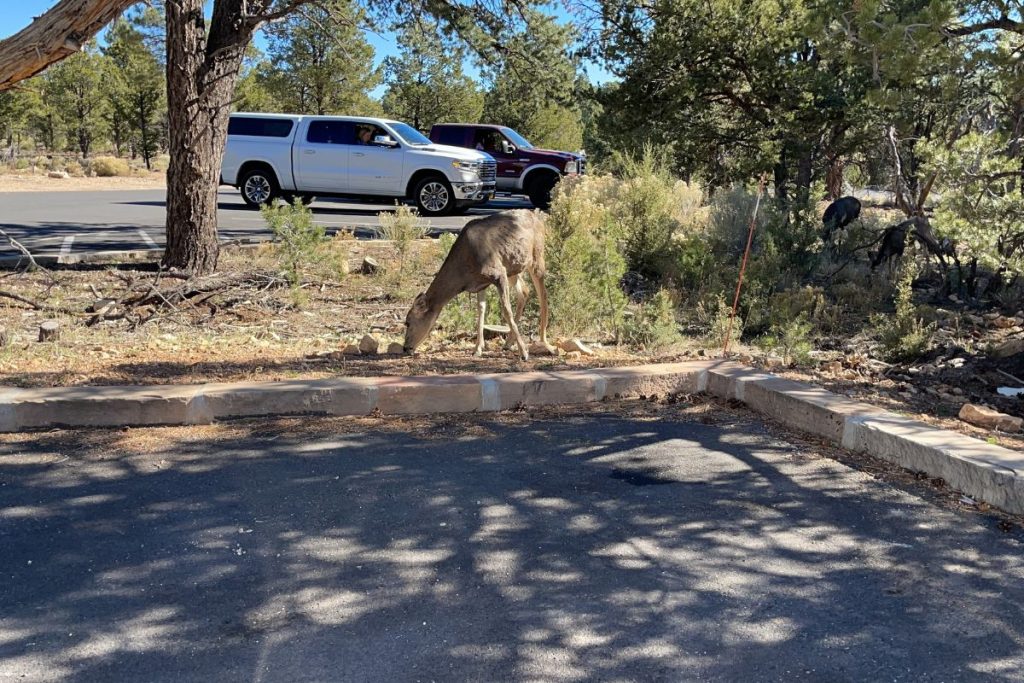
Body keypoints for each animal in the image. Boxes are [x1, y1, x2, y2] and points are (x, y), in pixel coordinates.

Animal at [402, 209, 555, 361]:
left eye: (408, 322)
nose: (405, 348)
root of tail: (537, 217)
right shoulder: (482, 283)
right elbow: (481, 309)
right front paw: (477, 349)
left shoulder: (498, 273)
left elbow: (506, 311)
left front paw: (524, 352)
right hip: (513, 268)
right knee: (524, 291)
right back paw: (508, 343)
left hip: (537, 257)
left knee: (543, 294)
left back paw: (546, 343)